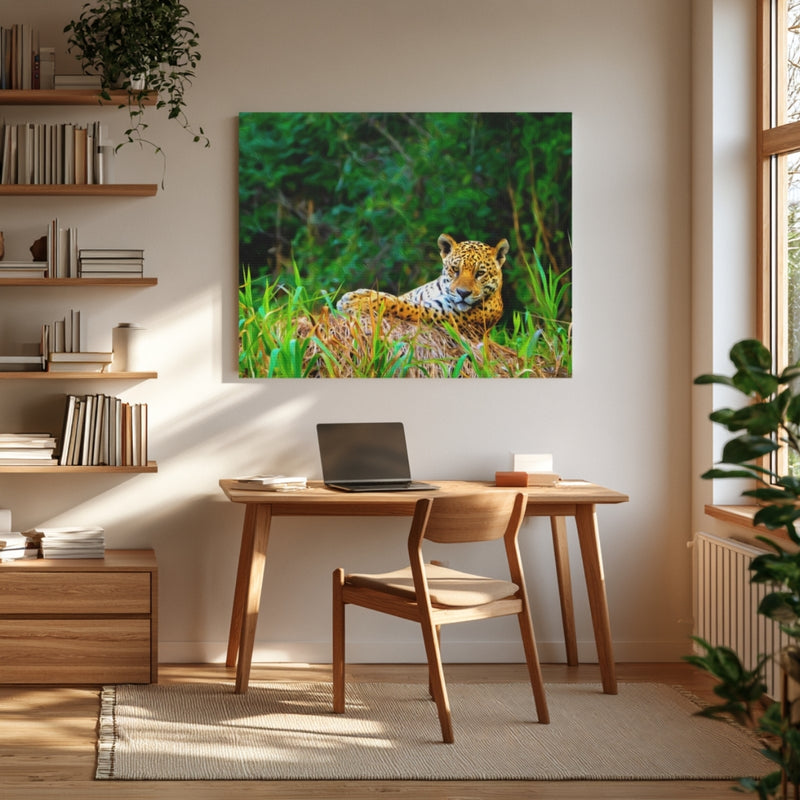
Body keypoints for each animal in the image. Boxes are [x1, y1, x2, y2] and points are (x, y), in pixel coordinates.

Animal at [336, 233, 510, 337]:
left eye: (480, 273)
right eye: (455, 269)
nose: (463, 293)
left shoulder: (438, 312)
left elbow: (399, 304)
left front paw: (355, 301)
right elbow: (394, 296)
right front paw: (360, 295)